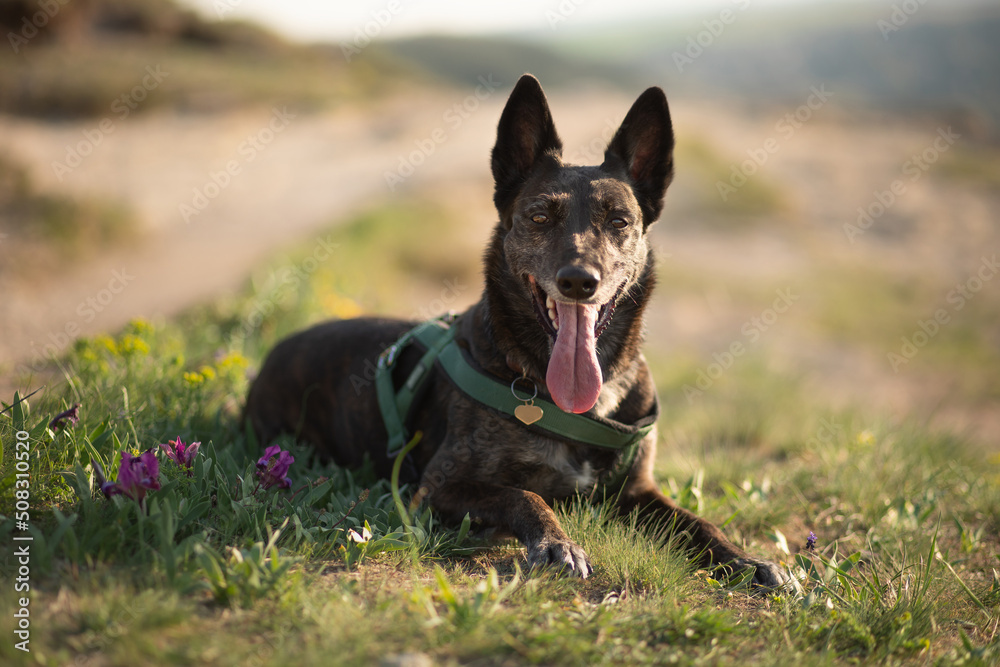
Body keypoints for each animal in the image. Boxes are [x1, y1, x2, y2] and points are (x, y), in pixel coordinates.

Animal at [244, 72, 788, 584]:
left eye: (618, 220)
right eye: (539, 215)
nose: (578, 281)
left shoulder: (639, 490)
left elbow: (698, 522)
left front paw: (747, 559)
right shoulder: (434, 488)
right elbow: (523, 494)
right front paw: (555, 543)